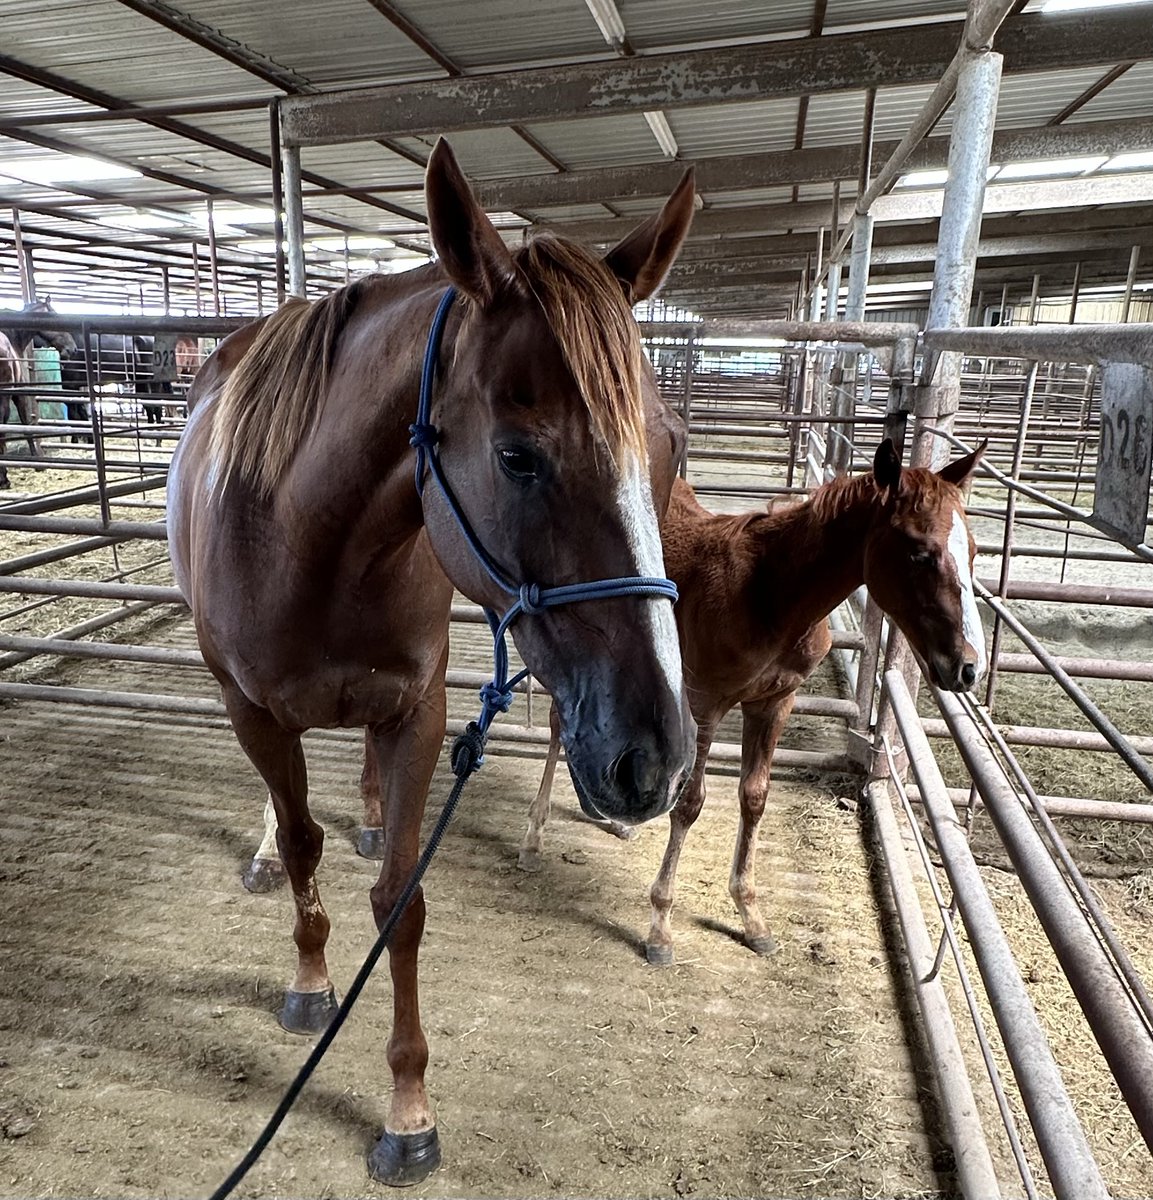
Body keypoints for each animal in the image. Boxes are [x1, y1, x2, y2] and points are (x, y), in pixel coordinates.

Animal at [166, 138, 698, 1186]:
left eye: (669, 449)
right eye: (519, 455)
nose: (651, 759)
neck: (309, 538)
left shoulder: (412, 714)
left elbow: (399, 905)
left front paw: (407, 1109)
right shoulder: (257, 713)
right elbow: (304, 849)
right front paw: (309, 980)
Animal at [518, 439, 988, 966]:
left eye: (973, 551)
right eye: (919, 553)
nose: (968, 668)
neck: (767, 595)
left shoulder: (774, 702)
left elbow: (755, 797)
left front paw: (751, 917)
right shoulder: (703, 703)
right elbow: (690, 803)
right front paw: (660, 926)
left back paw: (612, 820)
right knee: (558, 722)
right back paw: (534, 837)